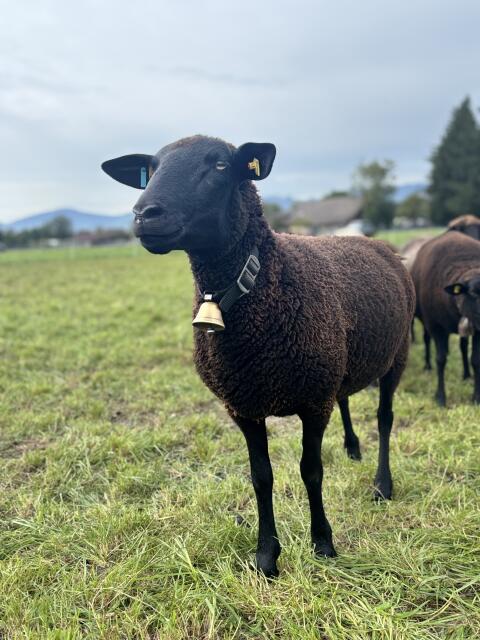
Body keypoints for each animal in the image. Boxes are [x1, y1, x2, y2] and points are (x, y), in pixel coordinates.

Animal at [102, 135, 415, 578]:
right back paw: (352, 449)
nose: (145, 214)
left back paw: (381, 485)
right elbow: (260, 477)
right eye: (151, 170)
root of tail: (372, 240)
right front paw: (266, 556)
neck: (265, 279)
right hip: (339, 363)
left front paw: (323, 542)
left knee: (385, 419)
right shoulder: (243, 405)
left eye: (220, 165)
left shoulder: (312, 402)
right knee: (346, 397)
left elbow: (311, 471)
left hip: (396, 355)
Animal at [411, 230, 480, 406]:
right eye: (473, 293)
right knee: (427, 340)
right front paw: (440, 398)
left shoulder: (478, 329)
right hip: (426, 320)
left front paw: (476, 397)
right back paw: (427, 366)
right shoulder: (436, 327)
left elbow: (475, 360)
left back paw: (466, 375)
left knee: (463, 347)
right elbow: (441, 360)